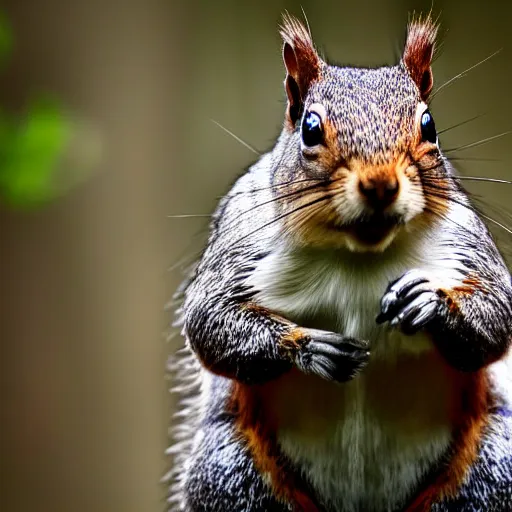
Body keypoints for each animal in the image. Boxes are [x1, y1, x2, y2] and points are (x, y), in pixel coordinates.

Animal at [167, 12, 512, 512]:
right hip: (233, 473)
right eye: (310, 129)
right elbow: (209, 319)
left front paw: (430, 301)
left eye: (429, 126)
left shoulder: (465, 240)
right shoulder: (241, 237)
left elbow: (497, 317)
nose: (380, 183)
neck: (358, 254)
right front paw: (308, 346)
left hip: (491, 468)